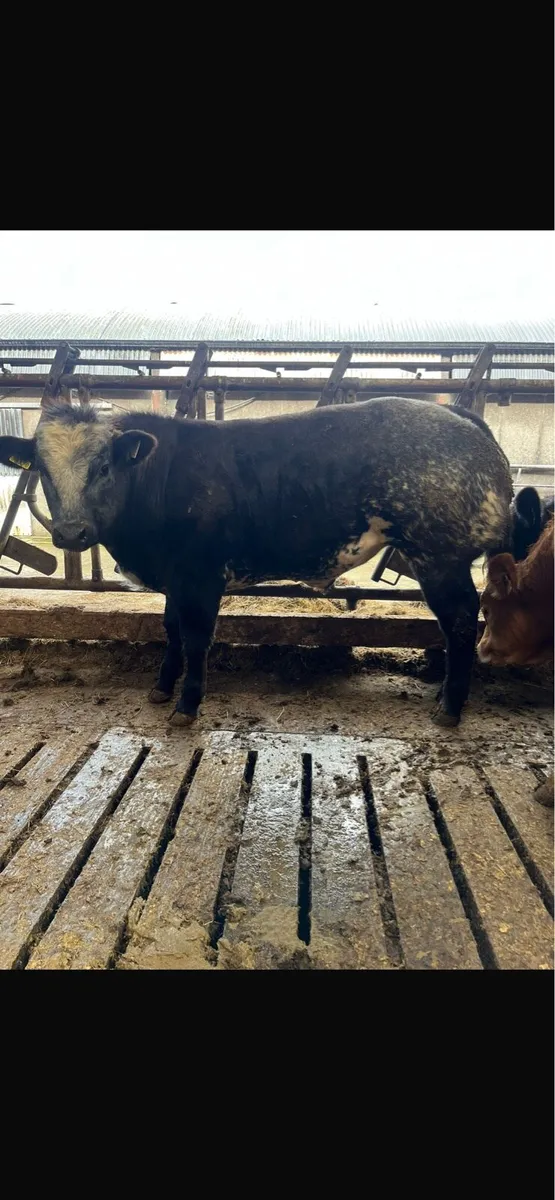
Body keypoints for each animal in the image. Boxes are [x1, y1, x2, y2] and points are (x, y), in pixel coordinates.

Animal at [0, 397, 513, 728]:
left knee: (461, 621)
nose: (71, 533)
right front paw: (161, 688)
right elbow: (170, 630)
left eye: (104, 467)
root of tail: (455, 415)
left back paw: (450, 706)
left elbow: (196, 639)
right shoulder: (175, 577)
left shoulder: (202, 576)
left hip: (439, 557)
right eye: (43, 471)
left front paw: (187, 705)